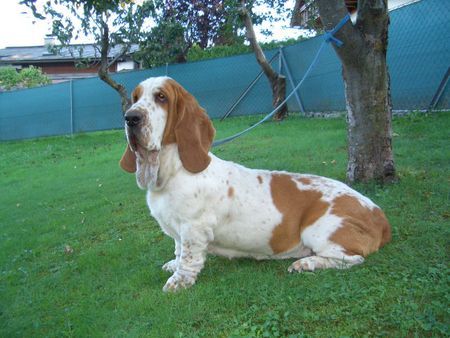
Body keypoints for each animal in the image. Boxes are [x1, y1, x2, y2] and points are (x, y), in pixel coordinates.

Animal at [119, 76, 390, 290]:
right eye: (135, 97)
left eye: (161, 97)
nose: (130, 118)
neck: (171, 170)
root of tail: (380, 216)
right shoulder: (178, 231)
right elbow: (178, 250)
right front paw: (172, 265)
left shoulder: (194, 229)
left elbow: (189, 258)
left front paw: (178, 281)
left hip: (318, 229)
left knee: (352, 259)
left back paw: (305, 263)